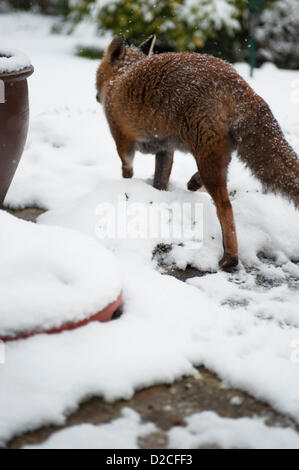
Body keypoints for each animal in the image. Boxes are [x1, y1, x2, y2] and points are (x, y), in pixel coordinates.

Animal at [96, 34, 299, 272]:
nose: (96, 96)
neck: (119, 78)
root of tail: (238, 83)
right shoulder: (165, 149)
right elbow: (160, 181)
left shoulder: (122, 142)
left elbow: (127, 170)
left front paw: (125, 187)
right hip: (216, 153)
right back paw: (194, 182)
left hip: (206, 154)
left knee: (225, 208)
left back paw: (230, 258)